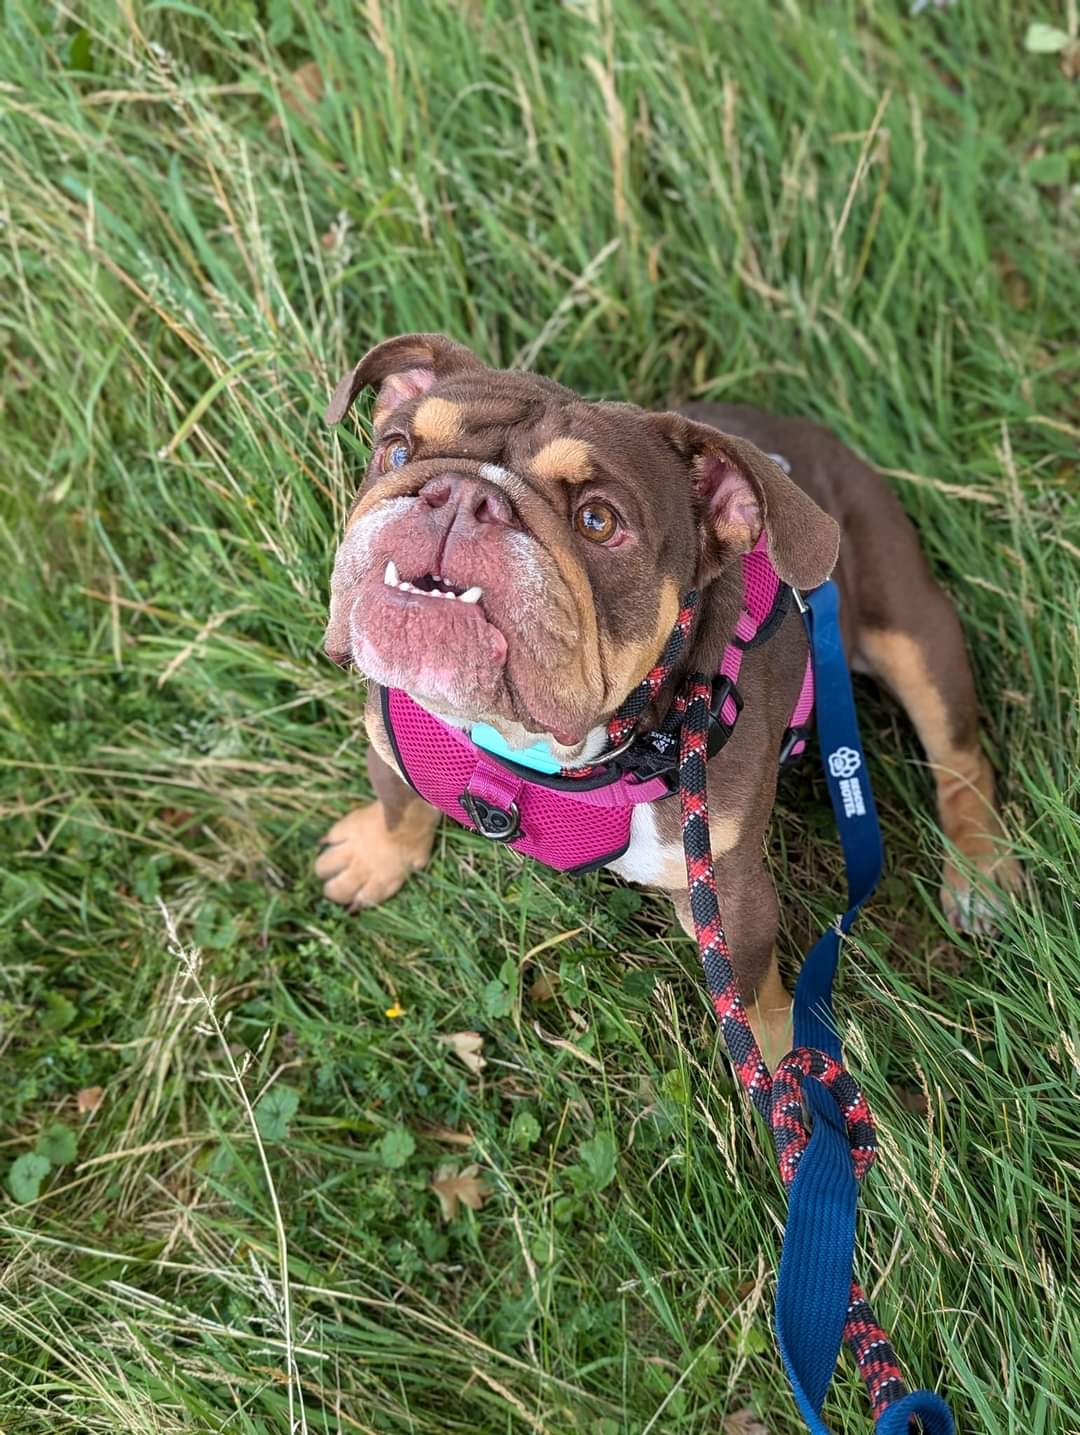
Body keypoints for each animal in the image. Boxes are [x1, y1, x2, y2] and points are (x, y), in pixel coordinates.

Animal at [314, 330, 1021, 1061]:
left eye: (598, 521)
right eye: (397, 450)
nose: (460, 496)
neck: (528, 748)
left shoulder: (730, 890)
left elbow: (753, 991)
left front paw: (782, 1067)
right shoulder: (388, 736)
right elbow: (397, 801)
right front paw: (373, 855)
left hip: (914, 629)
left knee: (960, 756)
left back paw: (981, 872)